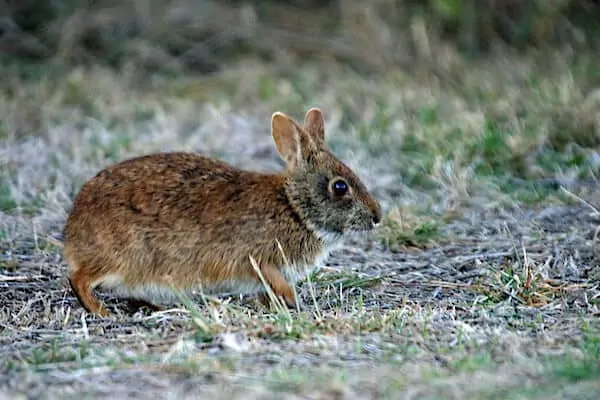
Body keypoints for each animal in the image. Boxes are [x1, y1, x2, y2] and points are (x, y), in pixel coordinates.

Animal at [63, 108, 382, 318]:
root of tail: (72, 234)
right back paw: (100, 311)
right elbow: (273, 279)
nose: (377, 216)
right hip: (123, 257)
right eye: (339, 187)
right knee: (79, 278)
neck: (294, 207)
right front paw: (293, 301)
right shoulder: (259, 257)